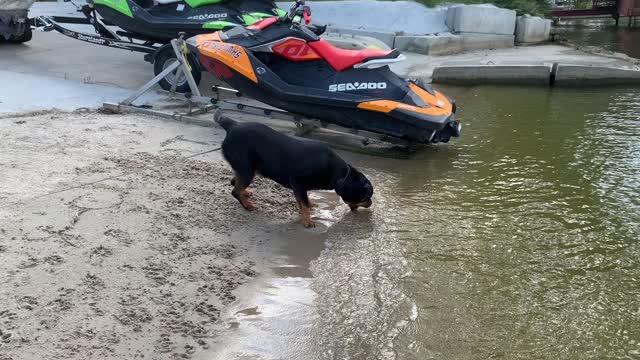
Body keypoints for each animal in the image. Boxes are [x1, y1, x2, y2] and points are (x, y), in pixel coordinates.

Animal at [216, 112, 376, 226]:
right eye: (364, 197)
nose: (370, 203)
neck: (340, 176)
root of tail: (232, 125)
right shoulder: (297, 182)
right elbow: (303, 203)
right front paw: (308, 221)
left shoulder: (300, 187)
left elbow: (303, 200)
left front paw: (309, 205)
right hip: (247, 169)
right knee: (235, 190)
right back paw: (248, 205)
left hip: (249, 168)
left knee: (234, 181)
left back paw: (245, 193)